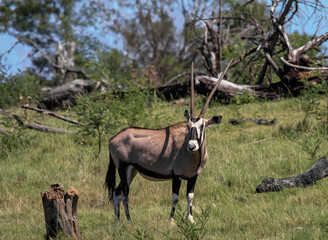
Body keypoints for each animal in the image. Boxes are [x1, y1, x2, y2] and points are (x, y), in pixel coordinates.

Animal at [104, 61, 231, 222]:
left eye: (202, 126)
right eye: (188, 126)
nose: (192, 146)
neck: (193, 156)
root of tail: (112, 139)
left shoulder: (193, 176)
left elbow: (190, 196)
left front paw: (191, 220)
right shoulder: (176, 175)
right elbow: (175, 198)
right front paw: (171, 221)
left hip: (132, 171)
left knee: (117, 193)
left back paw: (118, 222)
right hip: (123, 168)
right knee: (124, 194)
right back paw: (129, 221)